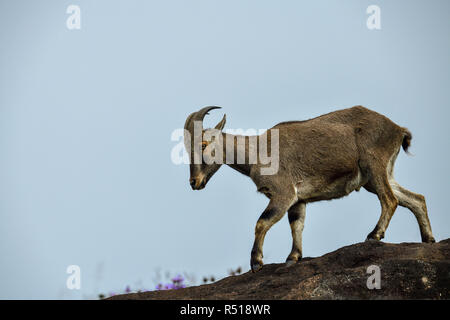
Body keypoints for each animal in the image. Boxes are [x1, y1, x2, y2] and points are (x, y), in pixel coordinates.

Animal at [183, 106, 436, 272]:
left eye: (203, 144)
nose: (195, 183)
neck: (256, 152)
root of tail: (398, 129)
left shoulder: (283, 193)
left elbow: (262, 222)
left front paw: (256, 262)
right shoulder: (298, 200)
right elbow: (297, 224)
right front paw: (293, 257)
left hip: (374, 165)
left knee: (390, 199)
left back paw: (374, 235)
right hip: (374, 178)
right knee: (416, 198)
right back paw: (428, 239)